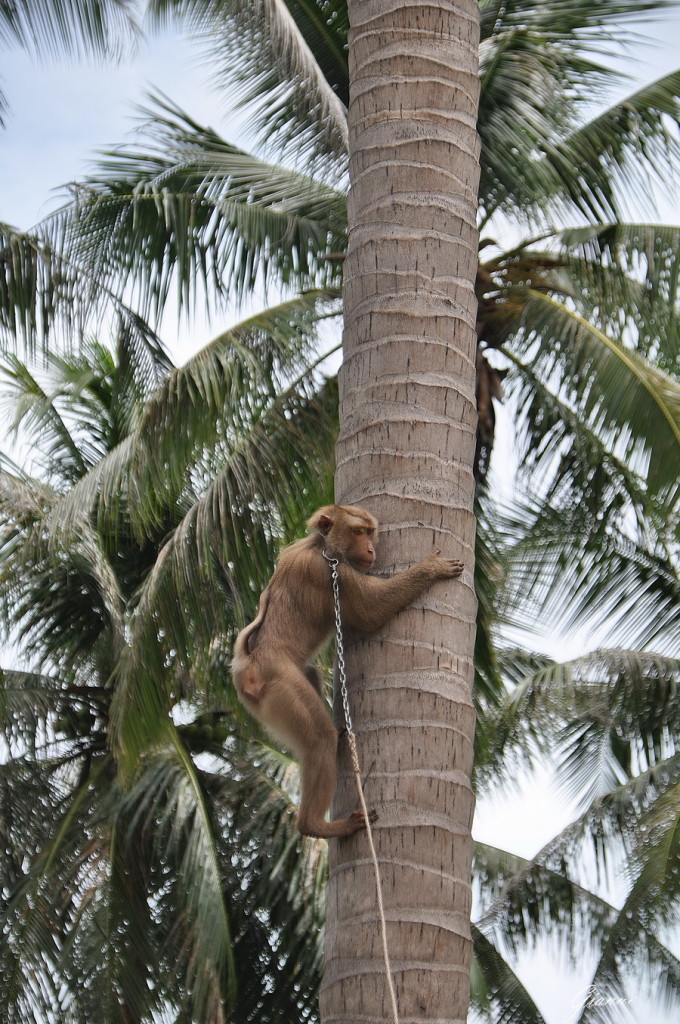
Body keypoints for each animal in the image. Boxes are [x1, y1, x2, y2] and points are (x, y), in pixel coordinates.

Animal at [231, 503, 464, 839]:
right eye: (358, 531)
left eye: (369, 532)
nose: (370, 549)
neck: (321, 545)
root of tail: (247, 663)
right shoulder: (331, 573)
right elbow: (372, 611)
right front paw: (430, 569)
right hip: (278, 684)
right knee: (318, 739)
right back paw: (316, 825)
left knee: (310, 678)